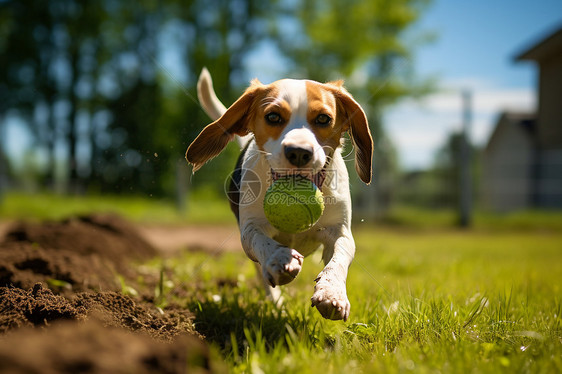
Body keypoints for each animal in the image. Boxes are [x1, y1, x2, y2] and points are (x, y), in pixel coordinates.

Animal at [186, 68, 372, 320]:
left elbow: (339, 258)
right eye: (273, 117)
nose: (299, 152)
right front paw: (279, 258)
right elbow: (260, 241)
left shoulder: (340, 231)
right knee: (263, 276)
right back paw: (276, 301)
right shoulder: (250, 228)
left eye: (323, 118)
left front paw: (332, 293)